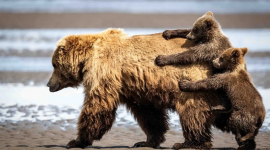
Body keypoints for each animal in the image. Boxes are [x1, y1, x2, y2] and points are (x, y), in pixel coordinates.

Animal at [47, 28, 221, 149]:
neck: (88, 56)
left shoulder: (104, 71)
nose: (49, 84)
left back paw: (192, 142)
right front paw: (146, 141)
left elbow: (98, 105)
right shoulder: (136, 88)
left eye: (54, 64)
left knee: (192, 112)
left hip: (190, 79)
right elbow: (149, 114)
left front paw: (76, 141)